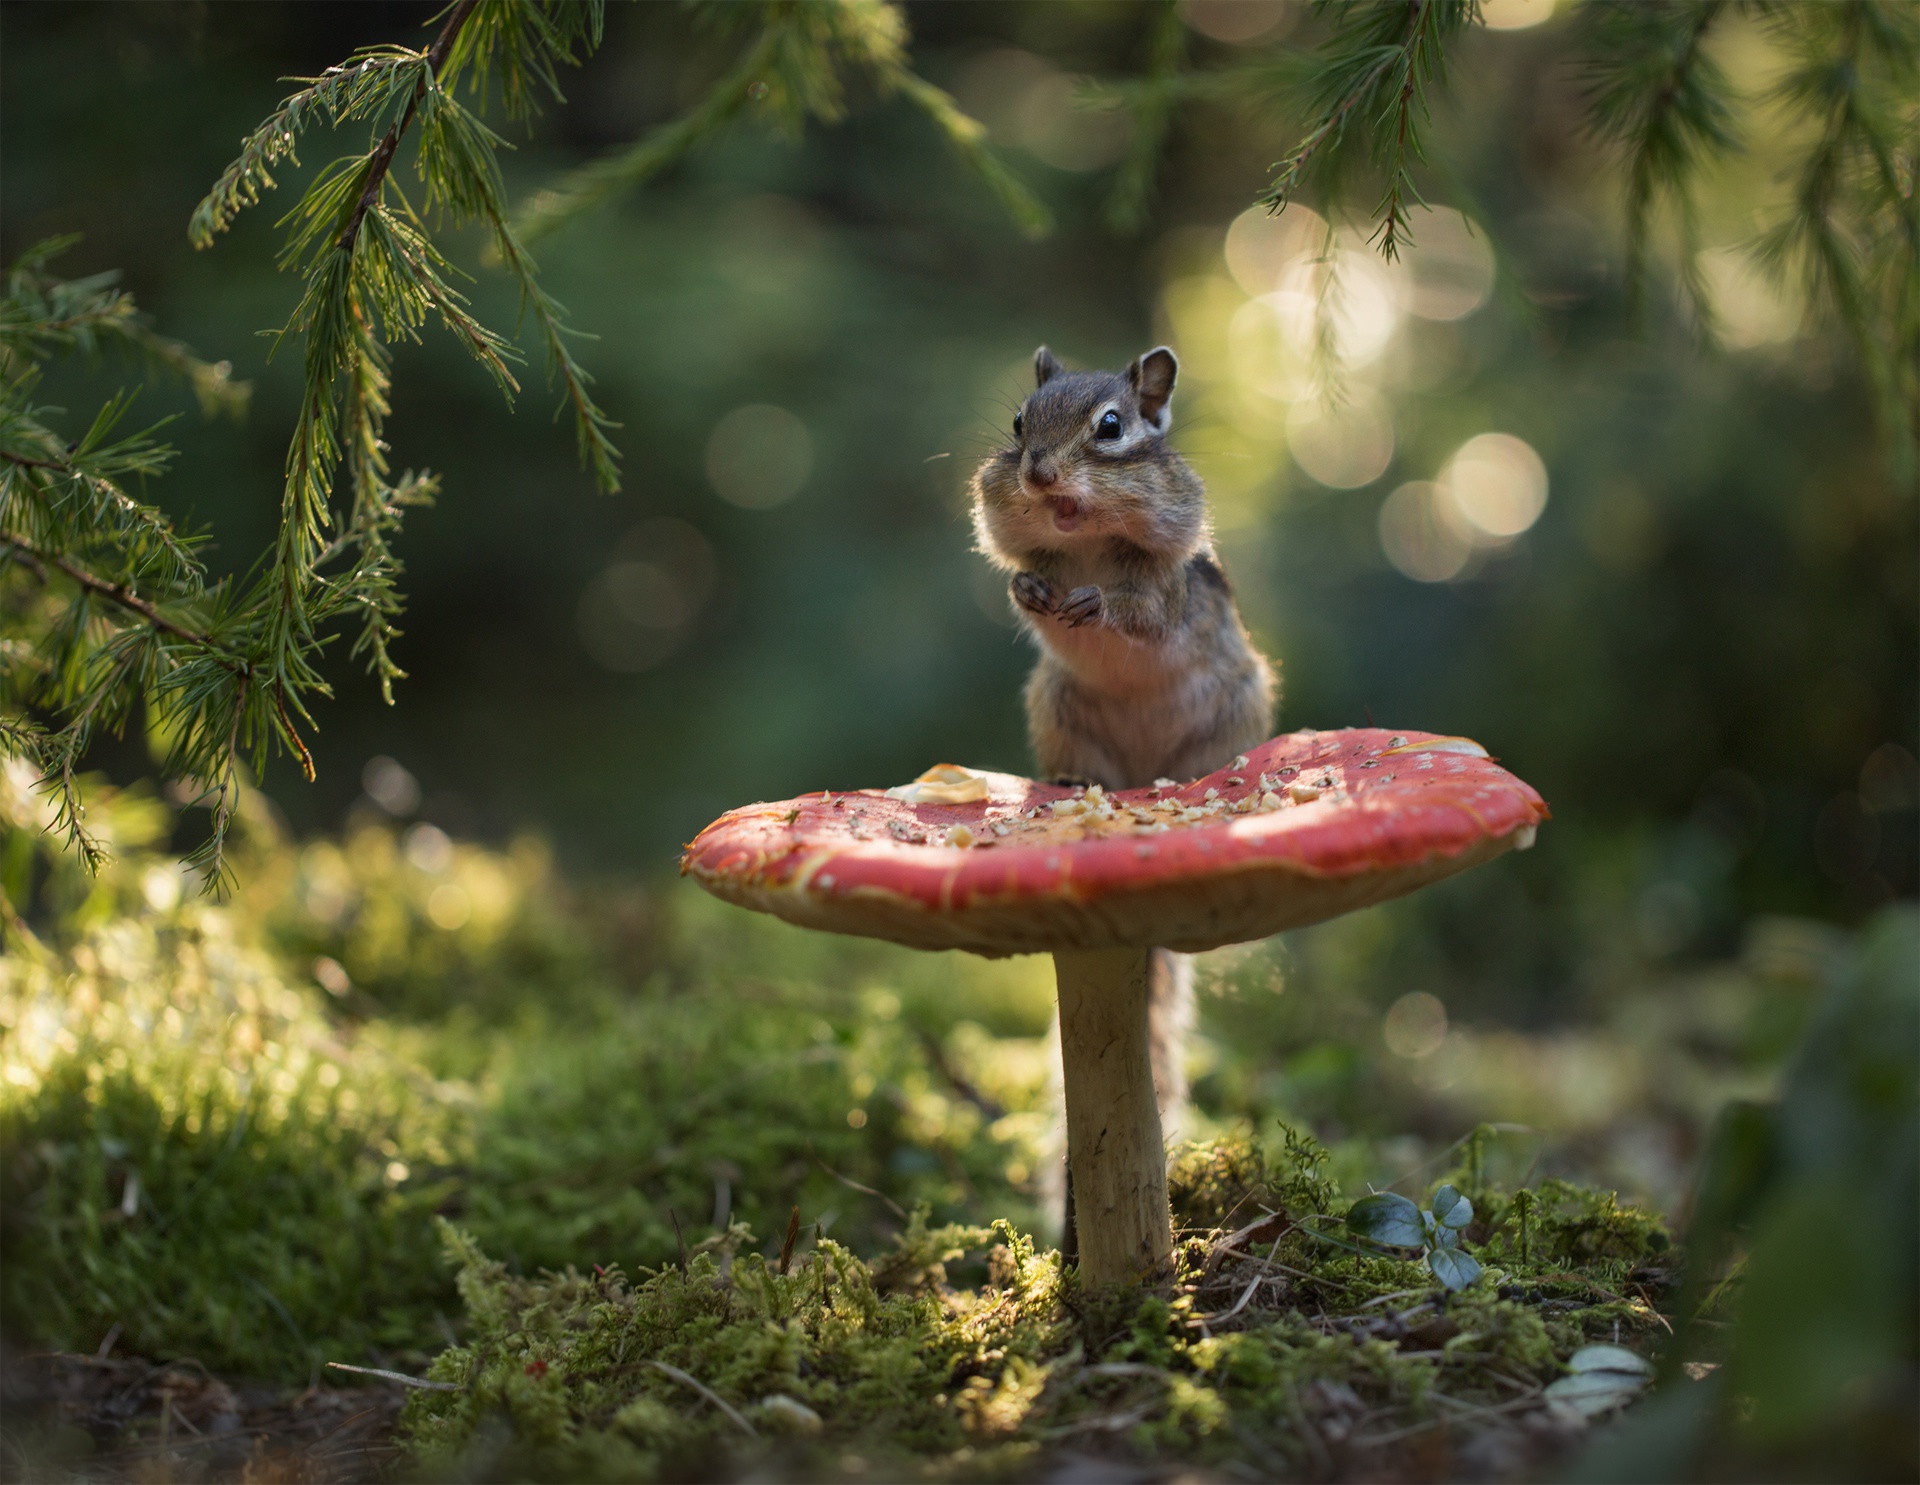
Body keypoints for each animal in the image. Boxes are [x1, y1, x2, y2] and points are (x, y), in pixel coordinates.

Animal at [970, 344, 1277, 1242]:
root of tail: (1142, 775)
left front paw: (1094, 601)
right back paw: (1079, 781)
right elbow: (1027, 587)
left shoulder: (1166, 591)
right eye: (1018, 423)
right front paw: (1033, 592)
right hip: (1058, 707)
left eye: (1111, 427)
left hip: (1236, 703)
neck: (1090, 542)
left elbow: (1139, 613)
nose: (1038, 473)